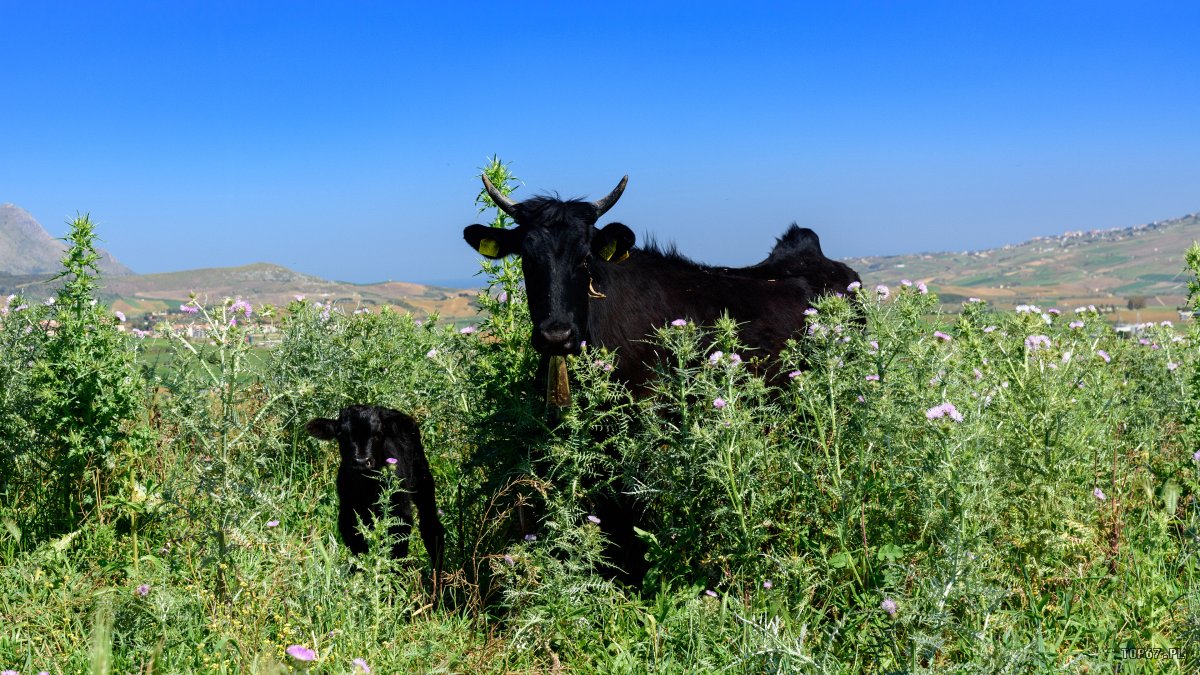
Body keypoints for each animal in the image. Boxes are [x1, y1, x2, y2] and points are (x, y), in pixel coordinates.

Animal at [304, 401, 446, 569]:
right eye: (342, 435)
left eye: (378, 433)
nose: (361, 461)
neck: (367, 485)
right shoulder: (349, 513)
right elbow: (359, 546)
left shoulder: (400, 511)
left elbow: (396, 547)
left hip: (422, 478)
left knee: (431, 526)